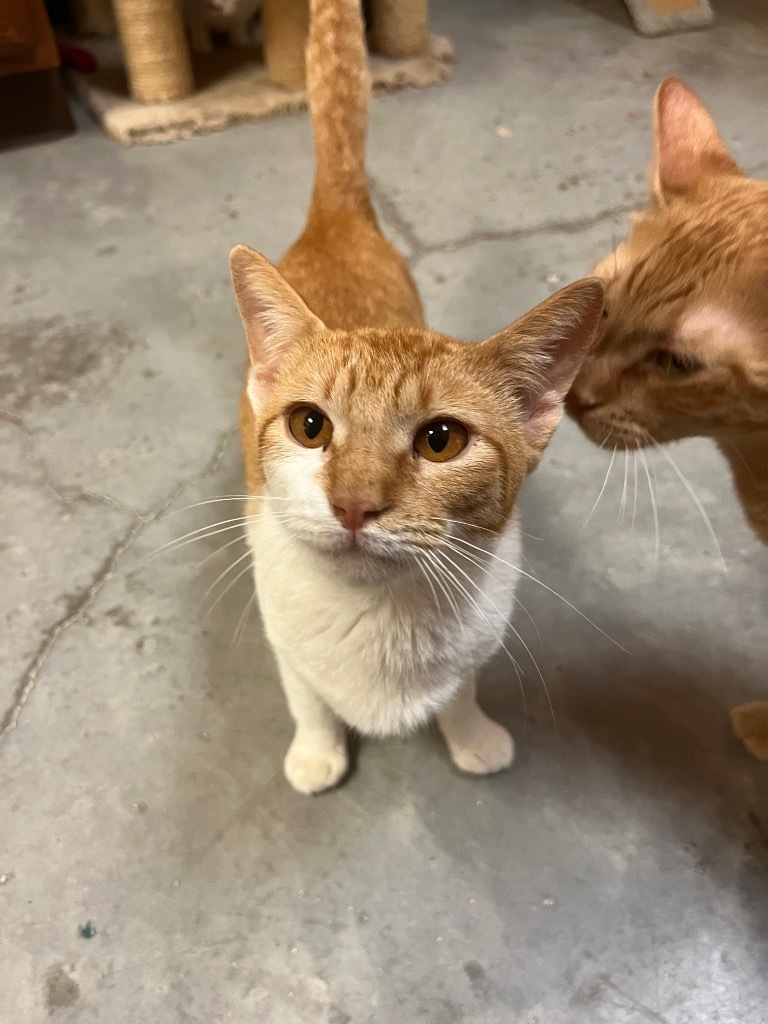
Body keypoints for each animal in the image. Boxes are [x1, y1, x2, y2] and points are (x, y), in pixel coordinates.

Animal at [231, 0, 606, 790]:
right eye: (310, 426)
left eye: (441, 440)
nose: (353, 504)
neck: (376, 617)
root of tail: (338, 216)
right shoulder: (282, 635)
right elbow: (306, 695)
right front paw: (318, 751)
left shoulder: (475, 642)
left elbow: (459, 690)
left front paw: (470, 735)